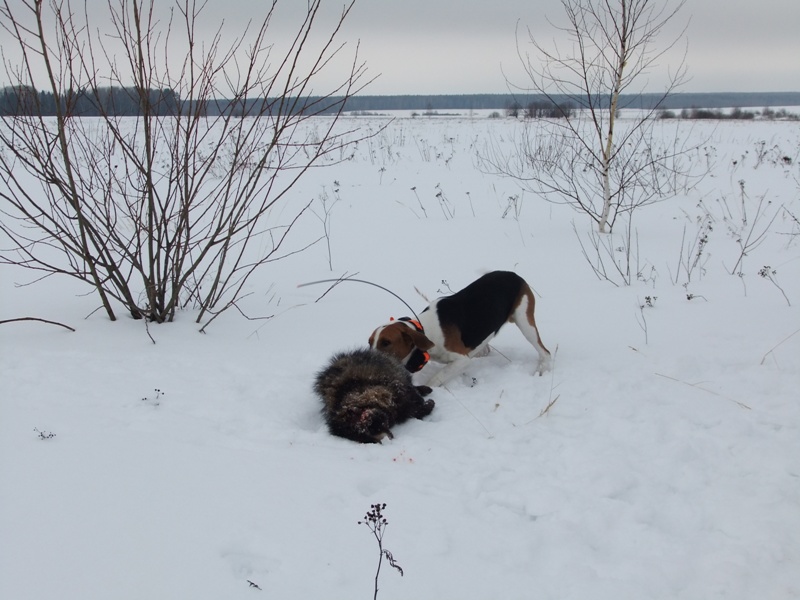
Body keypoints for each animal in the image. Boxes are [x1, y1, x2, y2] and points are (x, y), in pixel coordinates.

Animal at [368, 274, 552, 386]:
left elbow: (437, 377)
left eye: (386, 342)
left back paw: (542, 369)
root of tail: (514, 275)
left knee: (545, 352)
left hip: (525, 322)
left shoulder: (461, 359)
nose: (370, 360)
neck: (425, 330)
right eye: (369, 343)